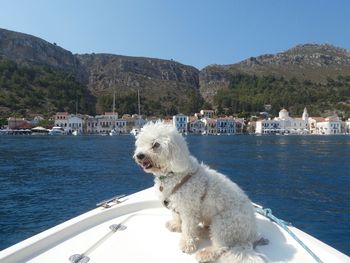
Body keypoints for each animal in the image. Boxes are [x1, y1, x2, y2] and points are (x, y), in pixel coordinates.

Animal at [134, 122, 266, 262]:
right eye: (141, 143)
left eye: (156, 145)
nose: (139, 155)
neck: (173, 173)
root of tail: (251, 234)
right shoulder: (175, 203)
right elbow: (176, 216)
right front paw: (176, 225)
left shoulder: (189, 210)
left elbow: (187, 229)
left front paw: (187, 244)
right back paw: (201, 231)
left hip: (224, 222)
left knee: (220, 246)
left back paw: (206, 252)